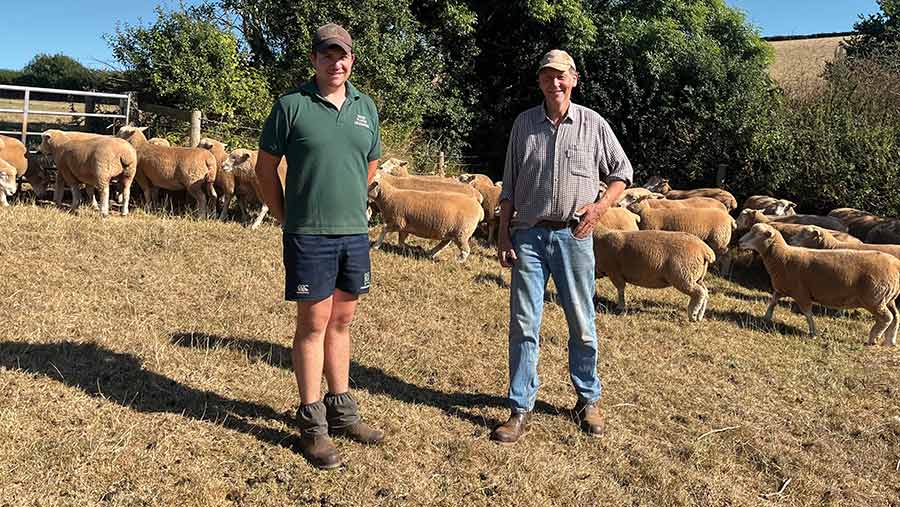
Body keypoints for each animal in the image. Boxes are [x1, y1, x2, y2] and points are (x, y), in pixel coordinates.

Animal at [740, 222, 900, 346]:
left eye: (756, 234)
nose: (740, 242)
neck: (783, 257)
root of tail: (896, 265)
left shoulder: (801, 292)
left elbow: (808, 313)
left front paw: (813, 333)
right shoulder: (781, 287)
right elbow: (773, 302)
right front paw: (766, 317)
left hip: (874, 298)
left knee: (887, 318)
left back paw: (873, 338)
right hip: (887, 298)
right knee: (896, 316)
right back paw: (890, 341)